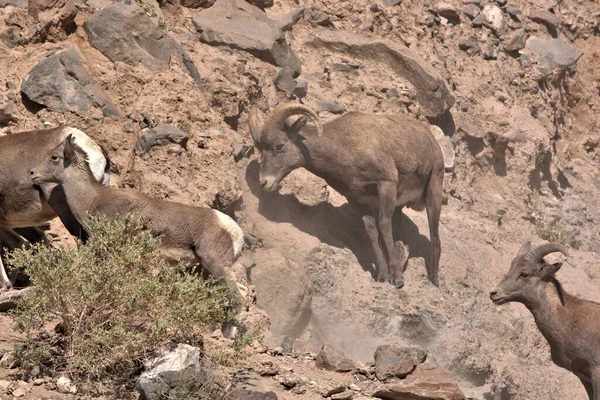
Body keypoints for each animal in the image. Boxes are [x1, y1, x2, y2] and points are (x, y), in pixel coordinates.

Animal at [248, 101, 446, 288]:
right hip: (398, 206)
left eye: (279, 146)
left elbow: (384, 226)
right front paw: (383, 276)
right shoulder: (356, 199)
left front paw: (397, 279)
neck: (343, 149)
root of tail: (432, 140)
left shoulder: (386, 185)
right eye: (260, 149)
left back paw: (434, 280)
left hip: (433, 193)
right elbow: (372, 231)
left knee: (435, 238)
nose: (264, 182)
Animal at [490, 241, 600, 400]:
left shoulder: (596, 373)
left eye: (525, 274)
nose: (494, 293)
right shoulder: (584, 378)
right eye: (511, 269)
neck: (569, 321)